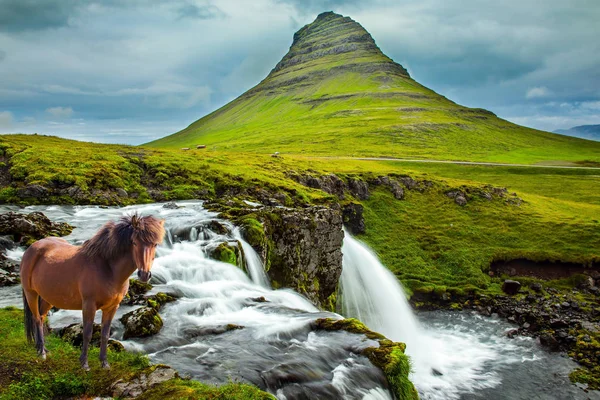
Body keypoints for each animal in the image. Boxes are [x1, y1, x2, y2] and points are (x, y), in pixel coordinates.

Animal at [20, 214, 165, 370]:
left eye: (155, 244)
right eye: (134, 242)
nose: (144, 275)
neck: (108, 269)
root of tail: (32, 247)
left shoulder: (112, 307)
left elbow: (105, 335)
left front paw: (104, 363)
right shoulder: (89, 305)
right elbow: (87, 334)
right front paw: (84, 363)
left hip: (48, 298)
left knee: (41, 318)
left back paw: (42, 349)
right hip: (31, 293)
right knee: (36, 318)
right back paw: (41, 352)